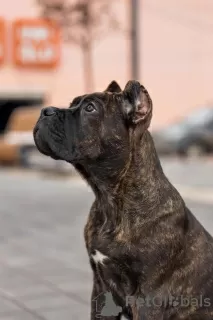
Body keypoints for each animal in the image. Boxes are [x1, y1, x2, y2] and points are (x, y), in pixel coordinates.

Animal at [33, 79, 213, 318]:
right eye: (72, 103)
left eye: (90, 108)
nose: (45, 111)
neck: (110, 199)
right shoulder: (101, 290)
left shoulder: (148, 299)